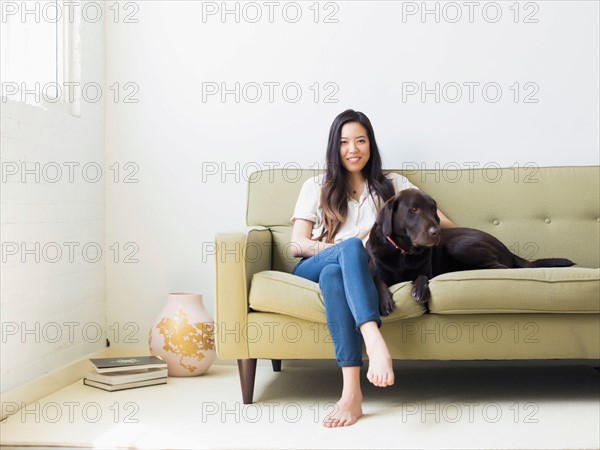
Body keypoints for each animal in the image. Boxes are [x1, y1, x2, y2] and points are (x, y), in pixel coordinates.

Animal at [366, 188, 576, 314]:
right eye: (414, 210)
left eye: (433, 209)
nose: (437, 232)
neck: (403, 253)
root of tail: (507, 249)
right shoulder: (377, 272)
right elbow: (377, 282)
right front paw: (384, 301)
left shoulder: (427, 272)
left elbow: (422, 276)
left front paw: (419, 289)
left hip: (457, 246)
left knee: (503, 269)